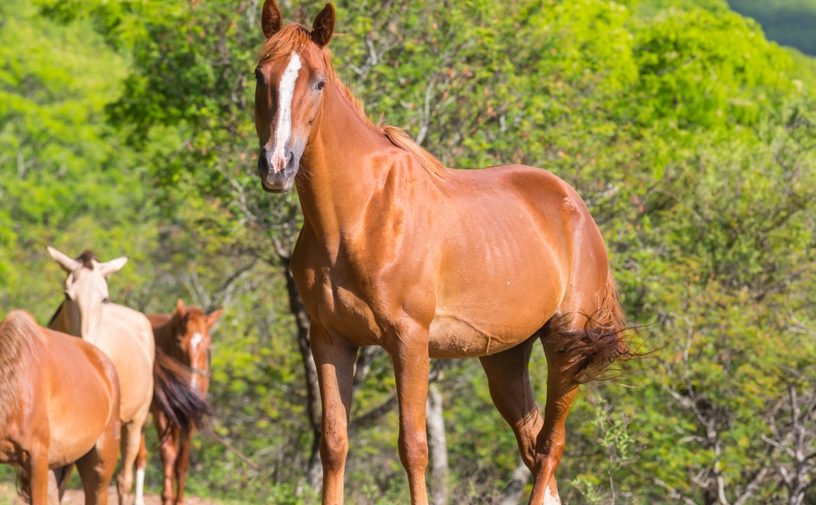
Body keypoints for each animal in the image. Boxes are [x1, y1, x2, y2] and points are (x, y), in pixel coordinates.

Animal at [137, 300, 220, 504]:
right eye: (178, 343)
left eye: (208, 345)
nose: (191, 386)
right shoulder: (161, 412)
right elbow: (168, 452)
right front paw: (167, 497)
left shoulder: (189, 417)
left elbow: (181, 462)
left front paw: (179, 499)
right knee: (140, 457)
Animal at [253, 1, 632, 502]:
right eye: (261, 74)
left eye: (318, 82)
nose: (277, 166)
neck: (360, 216)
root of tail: (577, 211)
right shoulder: (330, 339)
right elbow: (333, 443)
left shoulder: (409, 341)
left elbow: (414, 447)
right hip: (505, 357)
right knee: (533, 447)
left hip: (566, 344)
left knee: (551, 446)